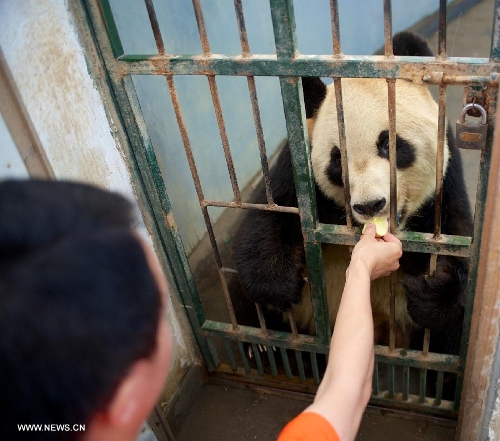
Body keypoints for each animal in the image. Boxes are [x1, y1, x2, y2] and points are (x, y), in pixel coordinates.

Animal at [230, 31, 472, 354]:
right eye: (337, 158)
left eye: (388, 144)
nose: (370, 205)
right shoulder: (295, 166)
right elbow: (271, 214)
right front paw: (276, 281)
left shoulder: (448, 179)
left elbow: (456, 238)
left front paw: (434, 291)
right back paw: (263, 347)